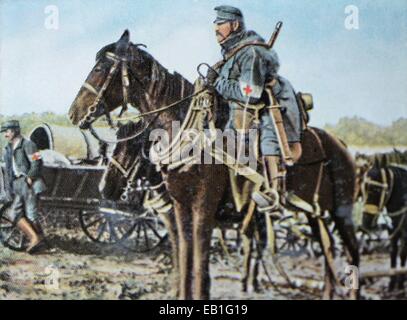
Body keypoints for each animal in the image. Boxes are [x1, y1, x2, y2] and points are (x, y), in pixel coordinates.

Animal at [69, 30, 360, 300]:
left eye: (99, 69)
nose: (74, 113)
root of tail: (340, 144)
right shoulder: (179, 209)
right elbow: (184, 257)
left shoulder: (203, 207)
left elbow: (199, 262)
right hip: (314, 213)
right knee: (327, 249)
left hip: (341, 211)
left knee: (352, 251)